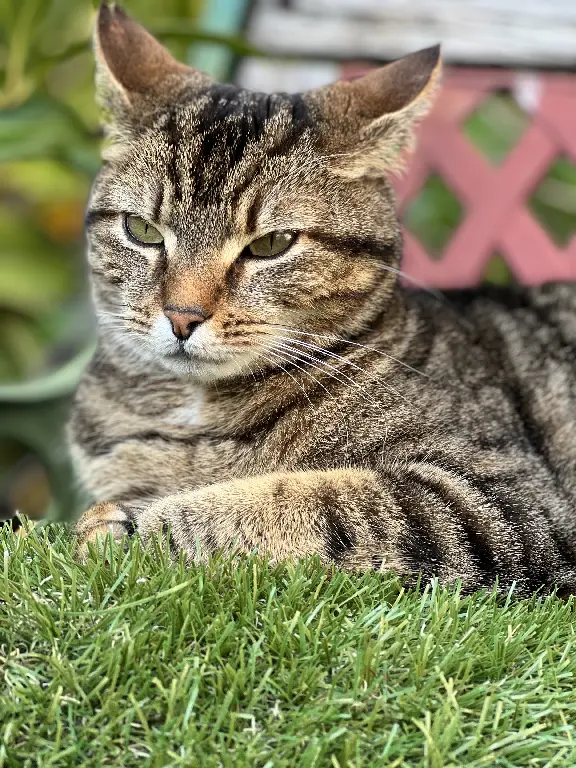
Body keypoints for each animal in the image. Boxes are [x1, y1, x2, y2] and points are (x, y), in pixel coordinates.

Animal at [68, 3, 576, 596]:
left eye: (271, 244)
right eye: (142, 230)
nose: (182, 316)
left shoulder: (507, 501)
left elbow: (312, 502)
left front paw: (136, 529)